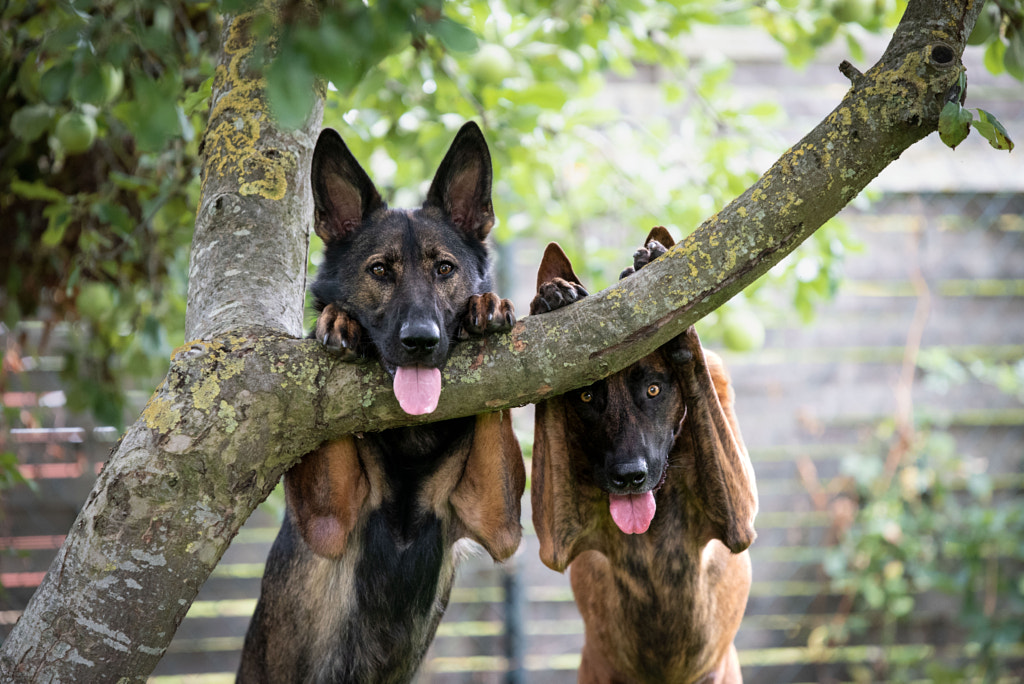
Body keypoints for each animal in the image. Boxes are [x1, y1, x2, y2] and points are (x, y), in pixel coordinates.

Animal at [239, 122, 524, 684]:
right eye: (379, 271)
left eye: (444, 268)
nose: (421, 340)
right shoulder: (328, 519)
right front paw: (337, 320)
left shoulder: (496, 519)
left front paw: (485, 306)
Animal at [532, 227, 757, 679]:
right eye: (587, 397)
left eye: (653, 389)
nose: (629, 477)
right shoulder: (557, 537)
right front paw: (552, 296)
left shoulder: (739, 518)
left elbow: (696, 365)